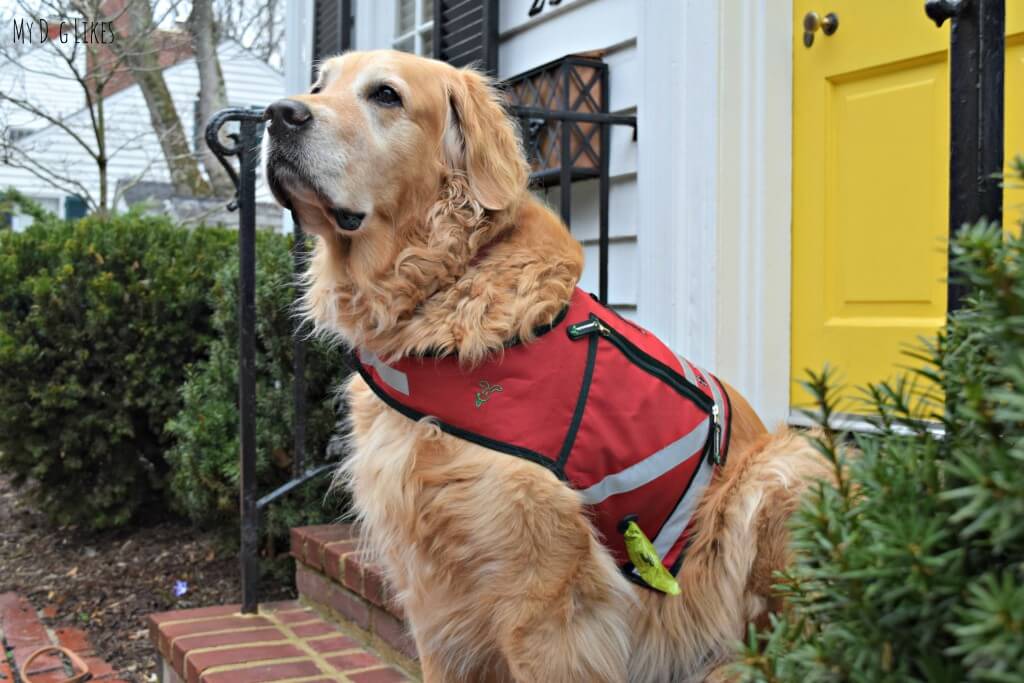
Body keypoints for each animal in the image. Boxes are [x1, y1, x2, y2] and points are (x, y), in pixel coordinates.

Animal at [264, 50, 831, 679]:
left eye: (386, 94)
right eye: (319, 85)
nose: (277, 114)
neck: (446, 289)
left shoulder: (548, 597)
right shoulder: (432, 593)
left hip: (783, 468)